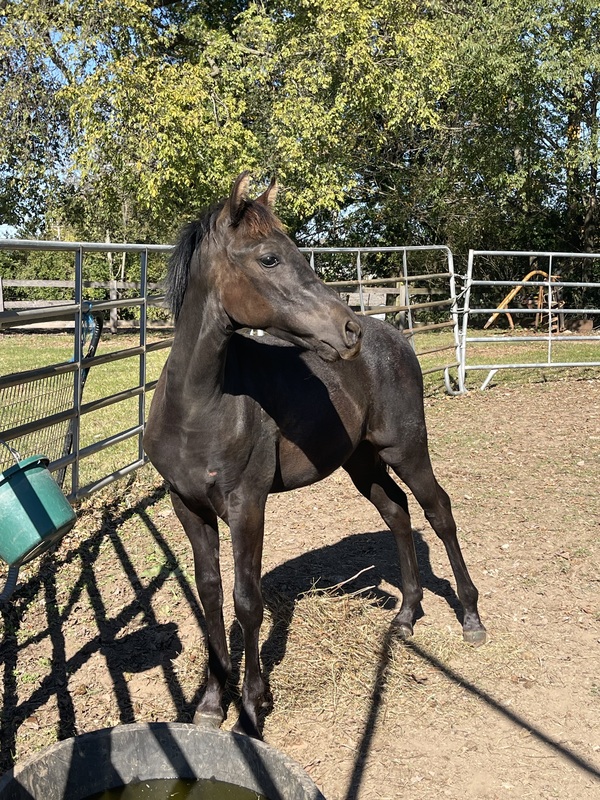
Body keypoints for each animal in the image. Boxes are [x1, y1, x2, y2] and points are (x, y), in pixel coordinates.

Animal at [143, 173, 486, 736]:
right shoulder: (188, 505)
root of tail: (394, 336)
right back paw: (405, 616)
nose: (348, 331)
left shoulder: (247, 504)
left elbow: (247, 601)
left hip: (406, 450)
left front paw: (252, 708)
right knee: (397, 512)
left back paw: (472, 618)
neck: (198, 406)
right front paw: (212, 702)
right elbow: (210, 594)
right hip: (361, 462)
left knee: (439, 512)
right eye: (269, 258)